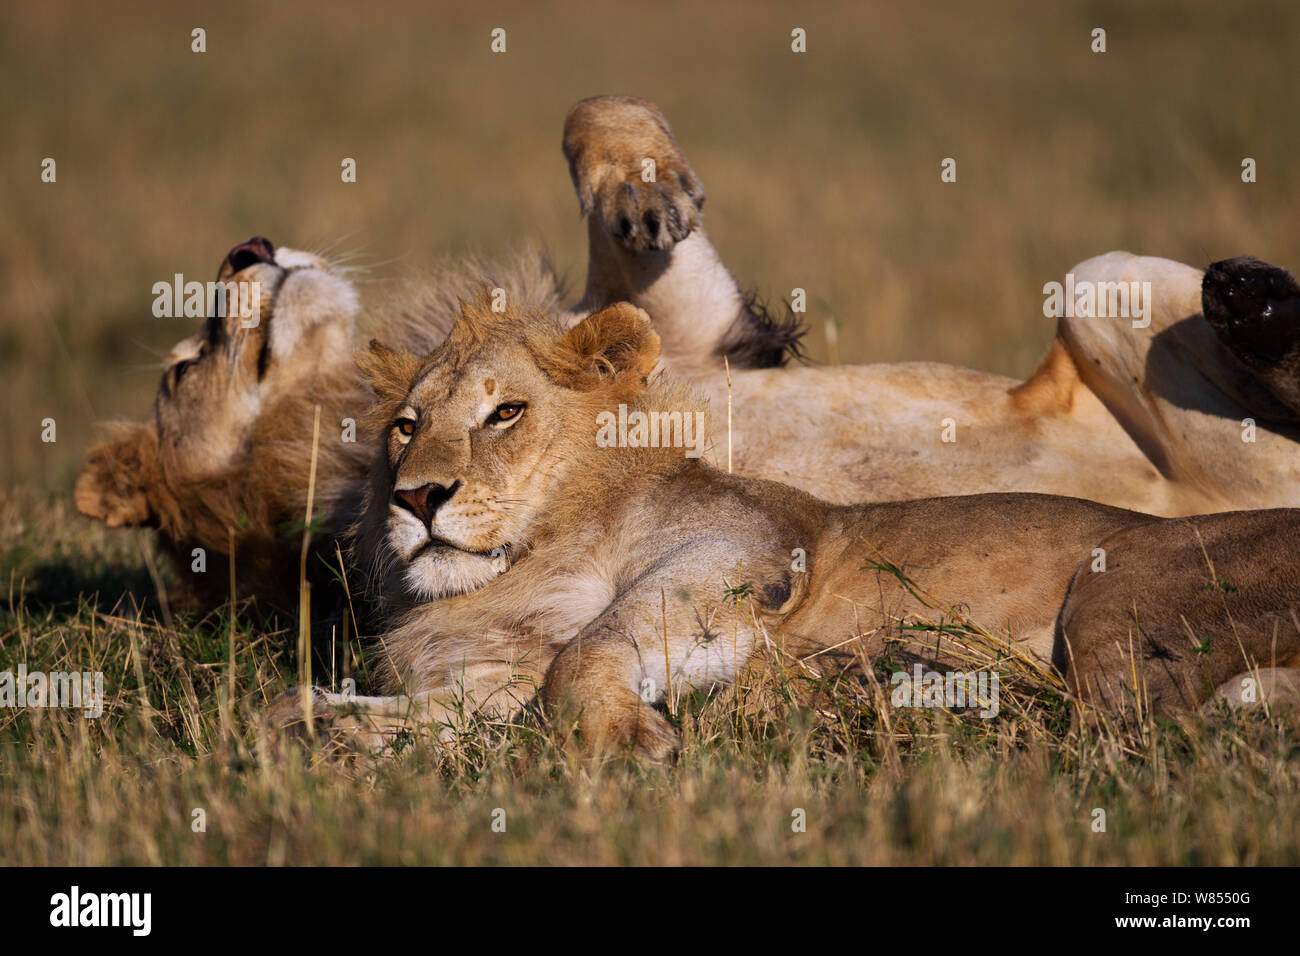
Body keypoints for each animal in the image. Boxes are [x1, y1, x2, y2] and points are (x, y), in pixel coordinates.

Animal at [271, 295, 1300, 759]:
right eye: (406, 426)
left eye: (505, 414)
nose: (416, 498)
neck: (519, 567)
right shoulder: (488, 683)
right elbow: (337, 710)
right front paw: (330, 729)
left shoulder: (737, 552)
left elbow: (587, 651)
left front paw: (631, 743)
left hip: (1106, 596)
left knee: (1131, 725)